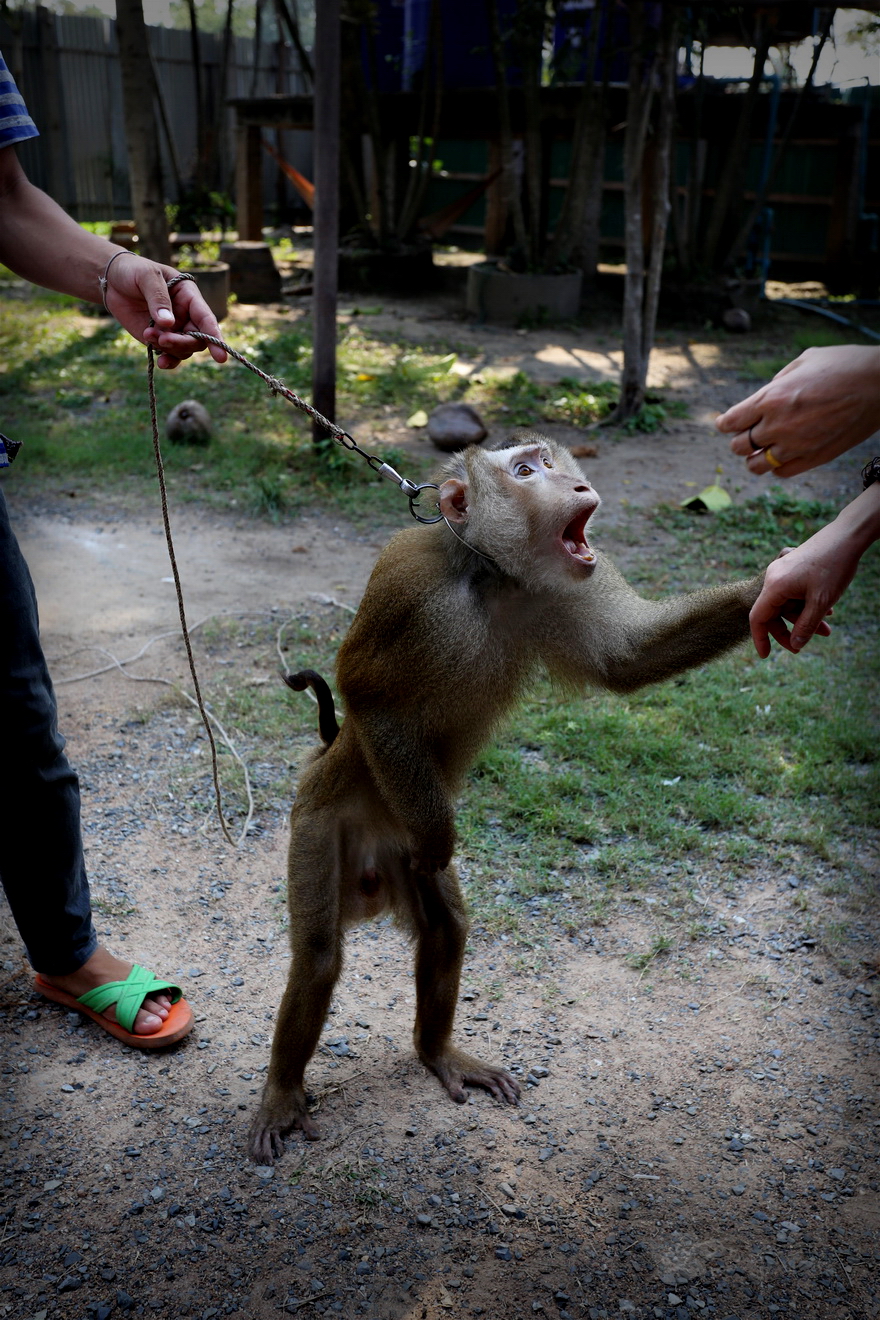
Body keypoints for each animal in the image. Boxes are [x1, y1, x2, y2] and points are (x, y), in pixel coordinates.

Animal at [248, 427, 765, 1161]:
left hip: (396, 850)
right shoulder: (409, 579)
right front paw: (441, 832)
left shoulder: (557, 591)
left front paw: (779, 583)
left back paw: (436, 1051)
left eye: (547, 462)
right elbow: (372, 698)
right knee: (319, 956)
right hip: (321, 823)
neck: (490, 578)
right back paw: (284, 1089)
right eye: (524, 472)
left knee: (445, 927)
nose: (576, 485)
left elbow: (629, 659)